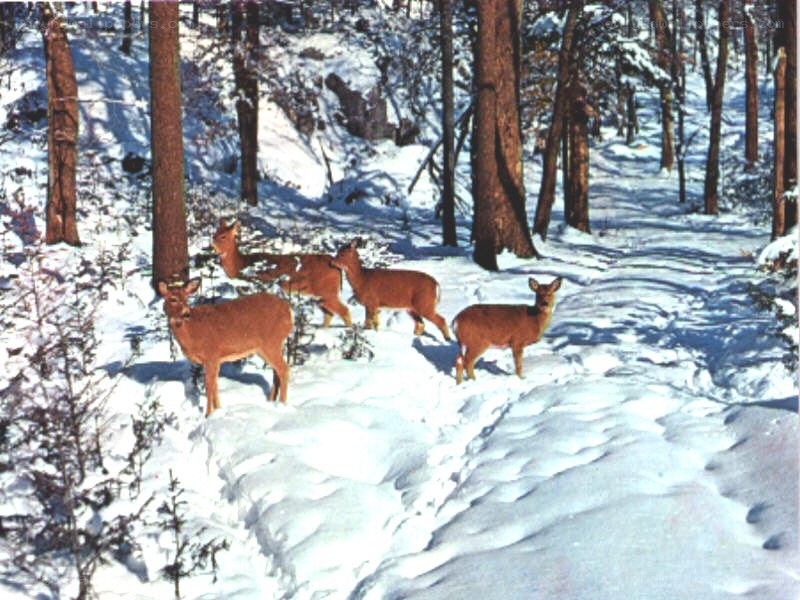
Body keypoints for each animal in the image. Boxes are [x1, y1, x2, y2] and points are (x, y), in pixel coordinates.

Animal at [157, 278, 293, 416]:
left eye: (186, 298)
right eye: (173, 299)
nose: (186, 313)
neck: (191, 332)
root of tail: (288, 310)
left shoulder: (211, 354)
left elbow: (209, 385)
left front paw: (208, 415)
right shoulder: (214, 360)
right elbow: (215, 385)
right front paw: (218, 410)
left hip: (270, 343)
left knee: (284, 369)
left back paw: (282, 404)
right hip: (271, 346)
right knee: (276, 371)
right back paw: (271, 401)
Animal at [211, 219, 351, 328]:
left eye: (223, 236)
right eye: (215, 233)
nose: (211, 242)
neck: (241, 265)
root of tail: (335, 265)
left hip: (327, 289)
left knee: (344, 310)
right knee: (329, 313)